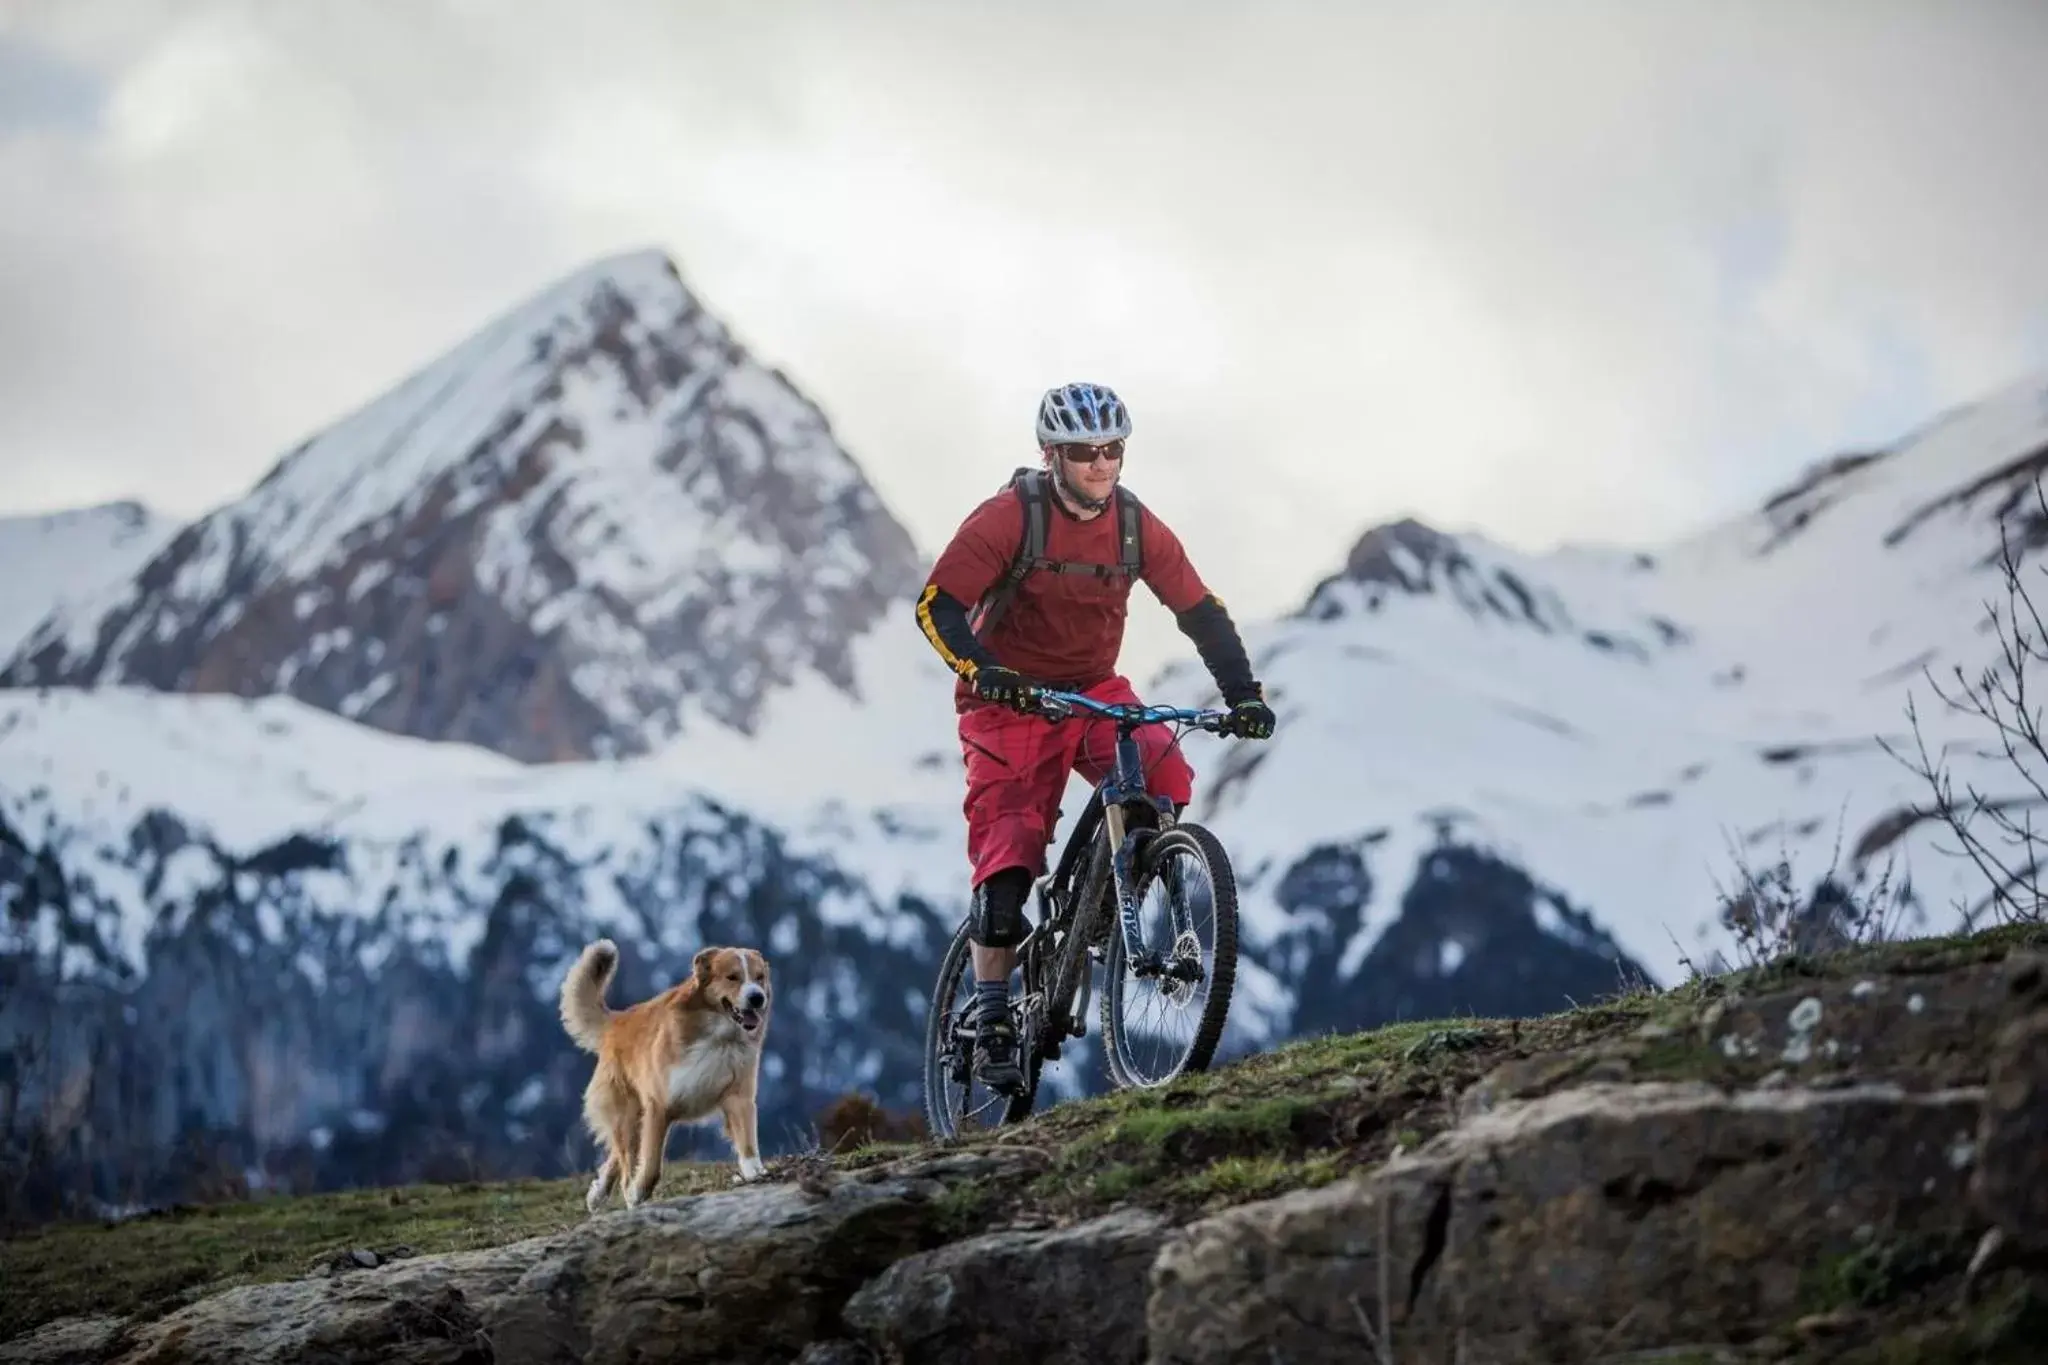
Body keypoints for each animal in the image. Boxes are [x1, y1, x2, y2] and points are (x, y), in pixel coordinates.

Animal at [557, 933, 770, 1211]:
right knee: (626, 1159)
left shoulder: (738, 1097)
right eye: (732, 977)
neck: (718, 1038)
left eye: (759, 977)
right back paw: (621, 1195)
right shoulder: (659, 1107)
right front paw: (637, 1193)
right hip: (628, 1114)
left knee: (616, 1155)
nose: (757, 997)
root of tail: (618, 1021)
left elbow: (747, 1143)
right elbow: (650, 1166)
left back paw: (598, 1193)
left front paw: (755, 1172)